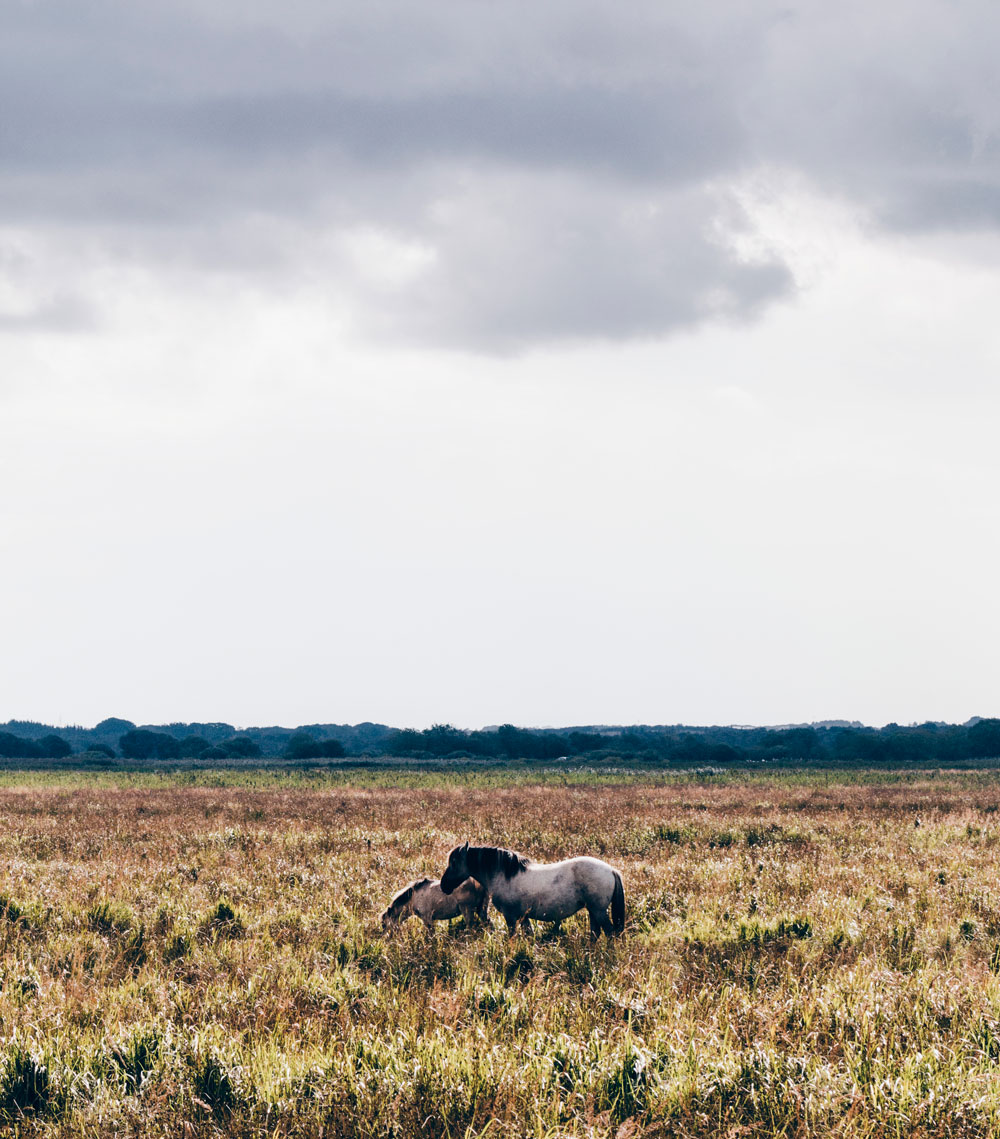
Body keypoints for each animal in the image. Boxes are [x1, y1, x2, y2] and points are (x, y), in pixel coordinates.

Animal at [439, 842, 628, 938]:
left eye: (454, 862)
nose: (443, 885)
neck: (504, 875)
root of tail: (611, 870)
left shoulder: (510, 917)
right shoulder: (524, 917)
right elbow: (529, 935)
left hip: (599, 910)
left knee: (610, 933)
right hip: (593, 910)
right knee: (596, 933)